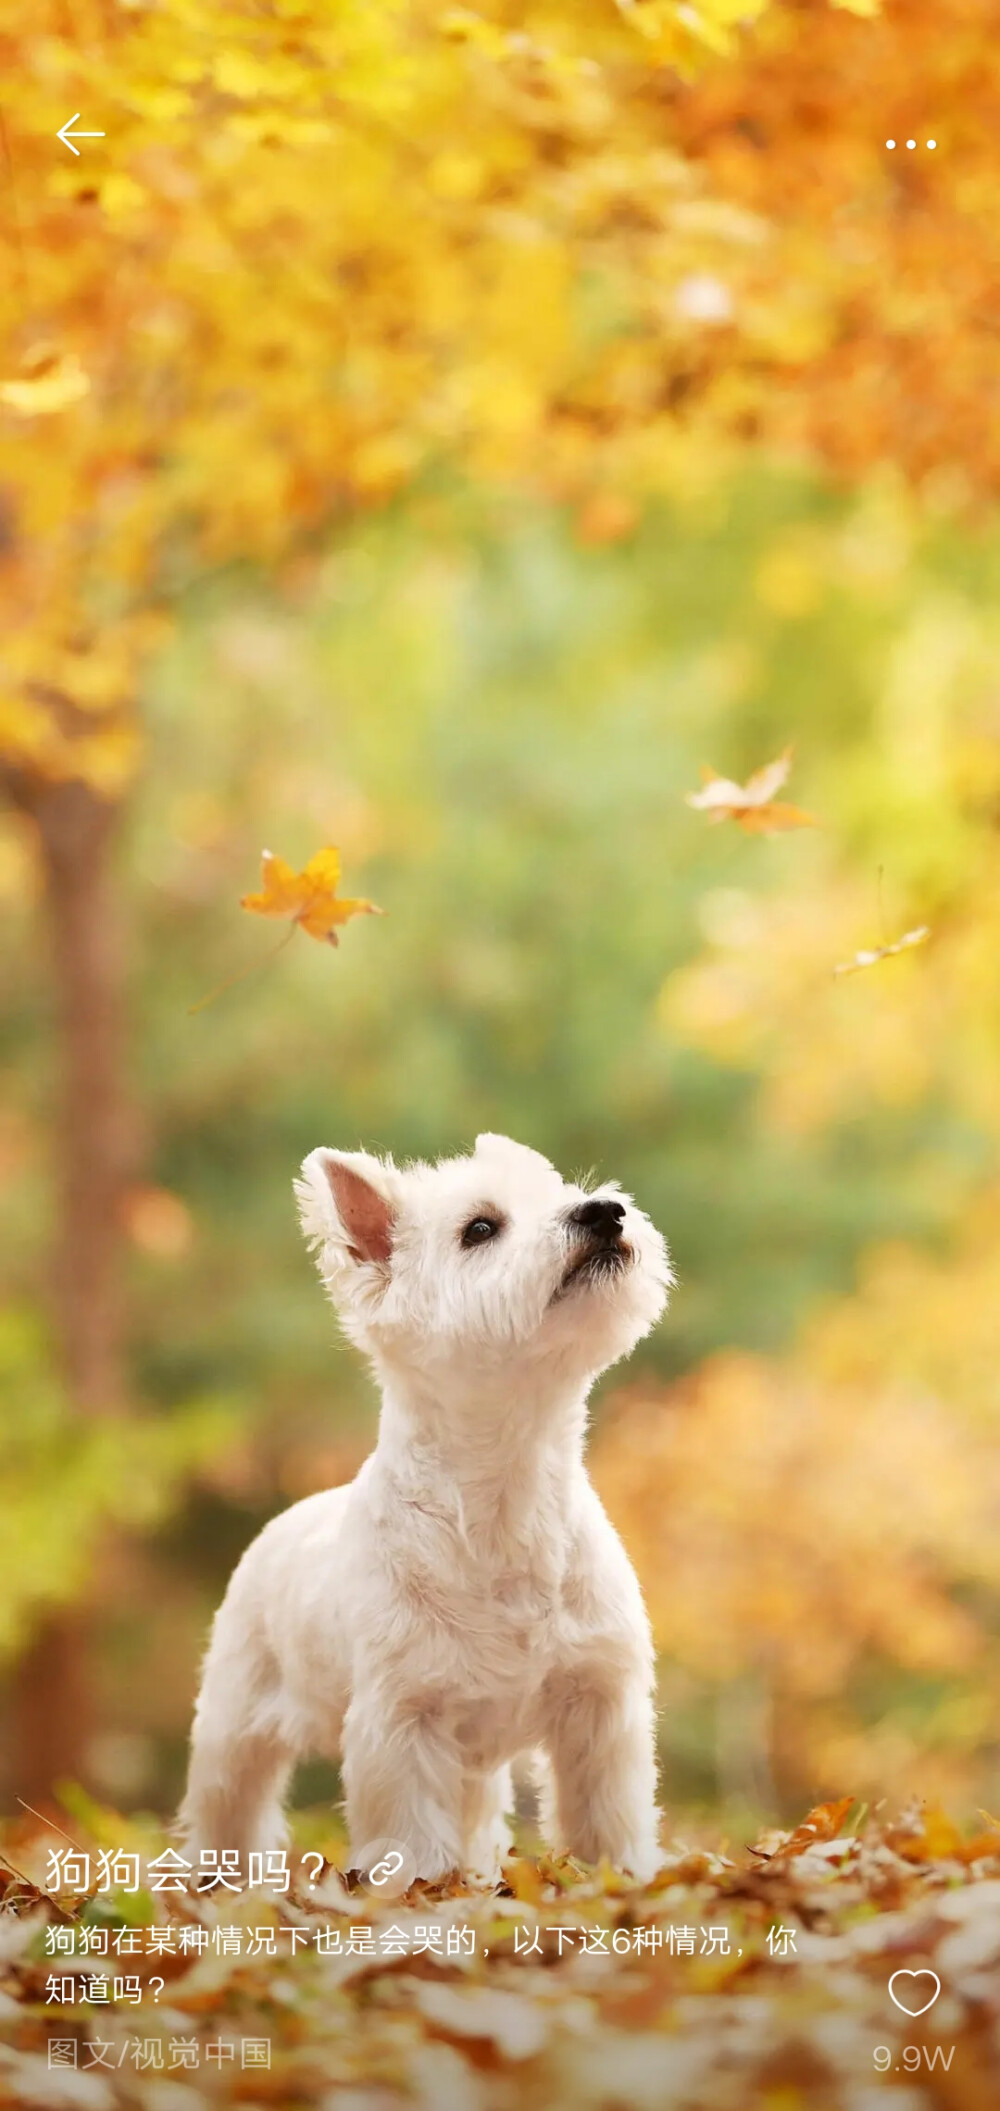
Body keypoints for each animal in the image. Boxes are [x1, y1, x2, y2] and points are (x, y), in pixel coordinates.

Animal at [181, 1139, 670, 1883]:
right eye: (480, 1228)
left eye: (561, 1190)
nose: (604, 1212)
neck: (509, 1494)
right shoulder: (403, 1717)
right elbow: (410, 1833)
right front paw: (418, 1890)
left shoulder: (599, 1700)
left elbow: (604, 1813)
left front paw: (620, 1877)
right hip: (235, 1714)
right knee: (227, 1799)